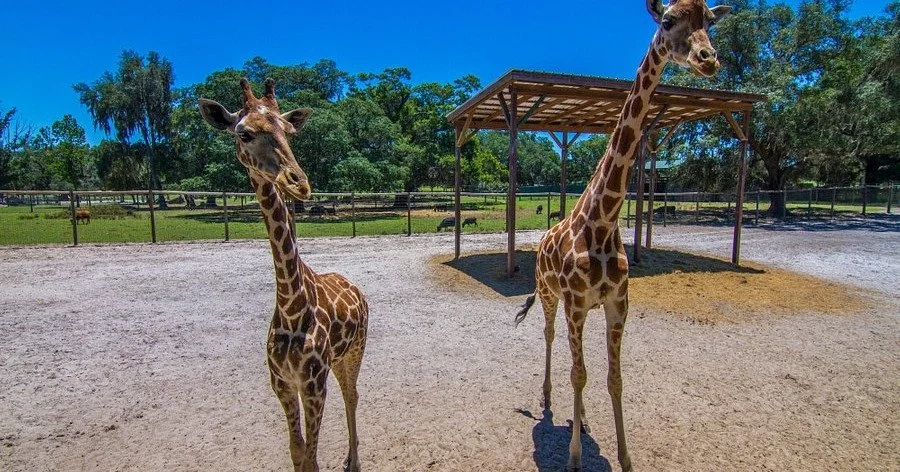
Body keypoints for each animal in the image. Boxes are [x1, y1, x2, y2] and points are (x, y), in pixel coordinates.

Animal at [199, 78, 368, 472]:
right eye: (244, 133)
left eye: (289, 131)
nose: (299, 183)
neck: (292, 306)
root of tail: (355, 286)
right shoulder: (282, 384)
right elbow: (297, 451)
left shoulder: (313, 384)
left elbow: (311, 457)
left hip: (354, 350)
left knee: (352, 395)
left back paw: (353, 460)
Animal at [514, 1, 732, 470]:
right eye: (667, 21)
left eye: (710, 20)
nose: (708, 59)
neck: (602, 221)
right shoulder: (576, 303)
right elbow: (579, 374)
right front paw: (574, 458)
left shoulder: (618, 304)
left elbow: (614, 379)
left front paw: (625, 457)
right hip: (549, 294)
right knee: (551, 338)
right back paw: (547, 401)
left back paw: (582, 419)